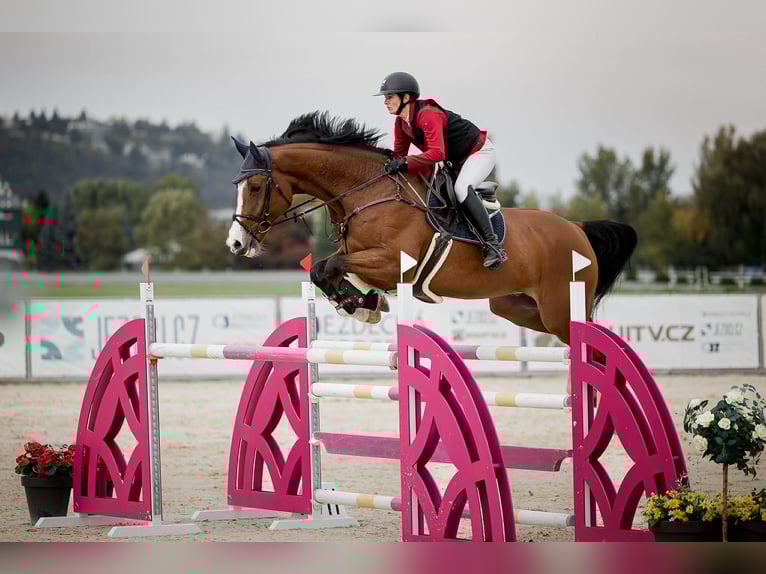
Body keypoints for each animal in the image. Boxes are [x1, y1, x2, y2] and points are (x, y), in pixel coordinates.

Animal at [226, 112, 637, 345]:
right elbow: (322, 270)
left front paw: (363, 306)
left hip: (558, 306)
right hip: (515, 306)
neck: (368, 191)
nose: (235, 244)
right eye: (237, 186)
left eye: (257, 187)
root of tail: (577, 228)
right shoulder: (360, 255)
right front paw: (363, 305)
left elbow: (332, 267)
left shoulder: (392, 262)